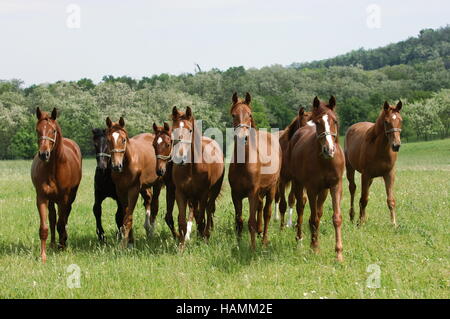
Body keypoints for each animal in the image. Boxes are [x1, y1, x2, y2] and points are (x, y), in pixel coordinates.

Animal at [30, 107, 82, 262]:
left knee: (64, 218)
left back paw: (62, 241)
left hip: (69, 198)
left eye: (53, 130)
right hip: (51, 200)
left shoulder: (63, 199)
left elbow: (61, 223)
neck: (52, 168)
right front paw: (43, 256)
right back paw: (53, 243)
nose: (44, 154)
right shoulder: (41, 198)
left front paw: (62, 245)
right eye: (37, 130)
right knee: (53, 218)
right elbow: (44, 227)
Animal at [104, 117, 163, 248]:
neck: (127, 163)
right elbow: (126, 214)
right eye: (108, 140)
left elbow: (128, 217)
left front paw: (123, 245)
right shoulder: (121, 191)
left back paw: (151, 232)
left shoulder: (133, 190)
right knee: (148, 200)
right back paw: (147, 228)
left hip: (157, 184)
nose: (116, 166)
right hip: (144, 187)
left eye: (123, 139)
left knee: (154, 205)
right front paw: (130, 241)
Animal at [170, 106, 224, 249]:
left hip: (213, 192)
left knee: (208, 210)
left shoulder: (203, 194)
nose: (180, 157)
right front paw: (181, 246)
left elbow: (201, 217)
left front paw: (202, 238)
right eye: (173, 129)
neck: (191, 168)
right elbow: (182, 221)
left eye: (190, 130)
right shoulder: (180, 193)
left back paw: (206, 234)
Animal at [229, 92, 282, 250]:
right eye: (233, 115)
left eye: (250, 114)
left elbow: (251, 221)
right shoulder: (236, 194)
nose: (242, 138)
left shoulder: (252, 193)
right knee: (260, 208)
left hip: (271, 189)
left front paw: (252, 248)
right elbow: (239, 221)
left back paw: (264, 240)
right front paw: (238, 245)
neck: (243, 164)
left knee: (266, 213)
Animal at [288, 96, 344, 262]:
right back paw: (299, 240)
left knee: (317, 212)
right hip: (298, 184)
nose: (329, 150)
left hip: (323, 191)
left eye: (335, 121)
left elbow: (336, 218)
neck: (325, 161)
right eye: (318, 122)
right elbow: (313, 219)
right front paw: (314, 248)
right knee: (300, 208)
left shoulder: (335, 186)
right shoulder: (312, 189)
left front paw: (339, 253)